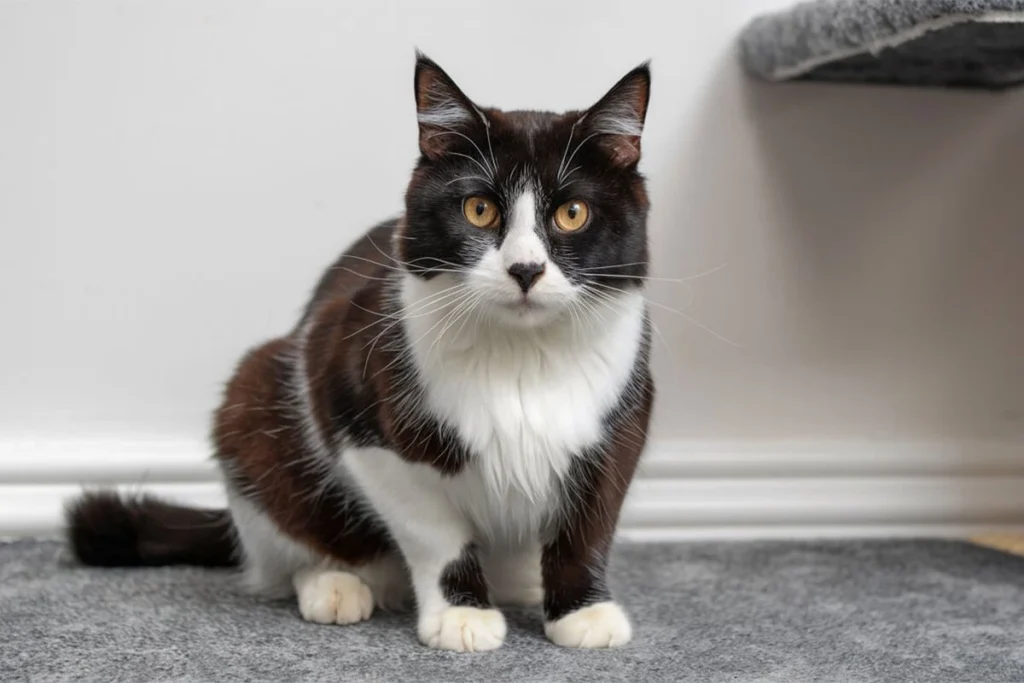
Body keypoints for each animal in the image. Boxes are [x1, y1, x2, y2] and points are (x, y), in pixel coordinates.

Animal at [66, 53, 655, 651]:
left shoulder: (622, 422)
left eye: (573, 214)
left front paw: (583, 612)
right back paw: (334, 585)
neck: (523, 355)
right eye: (479, 209)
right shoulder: (359, 418)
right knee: (291, 545)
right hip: (255, 401)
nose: (526, 269)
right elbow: (436, 532)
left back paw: (524, 583)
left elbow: (590, 524)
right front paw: (461, 615)